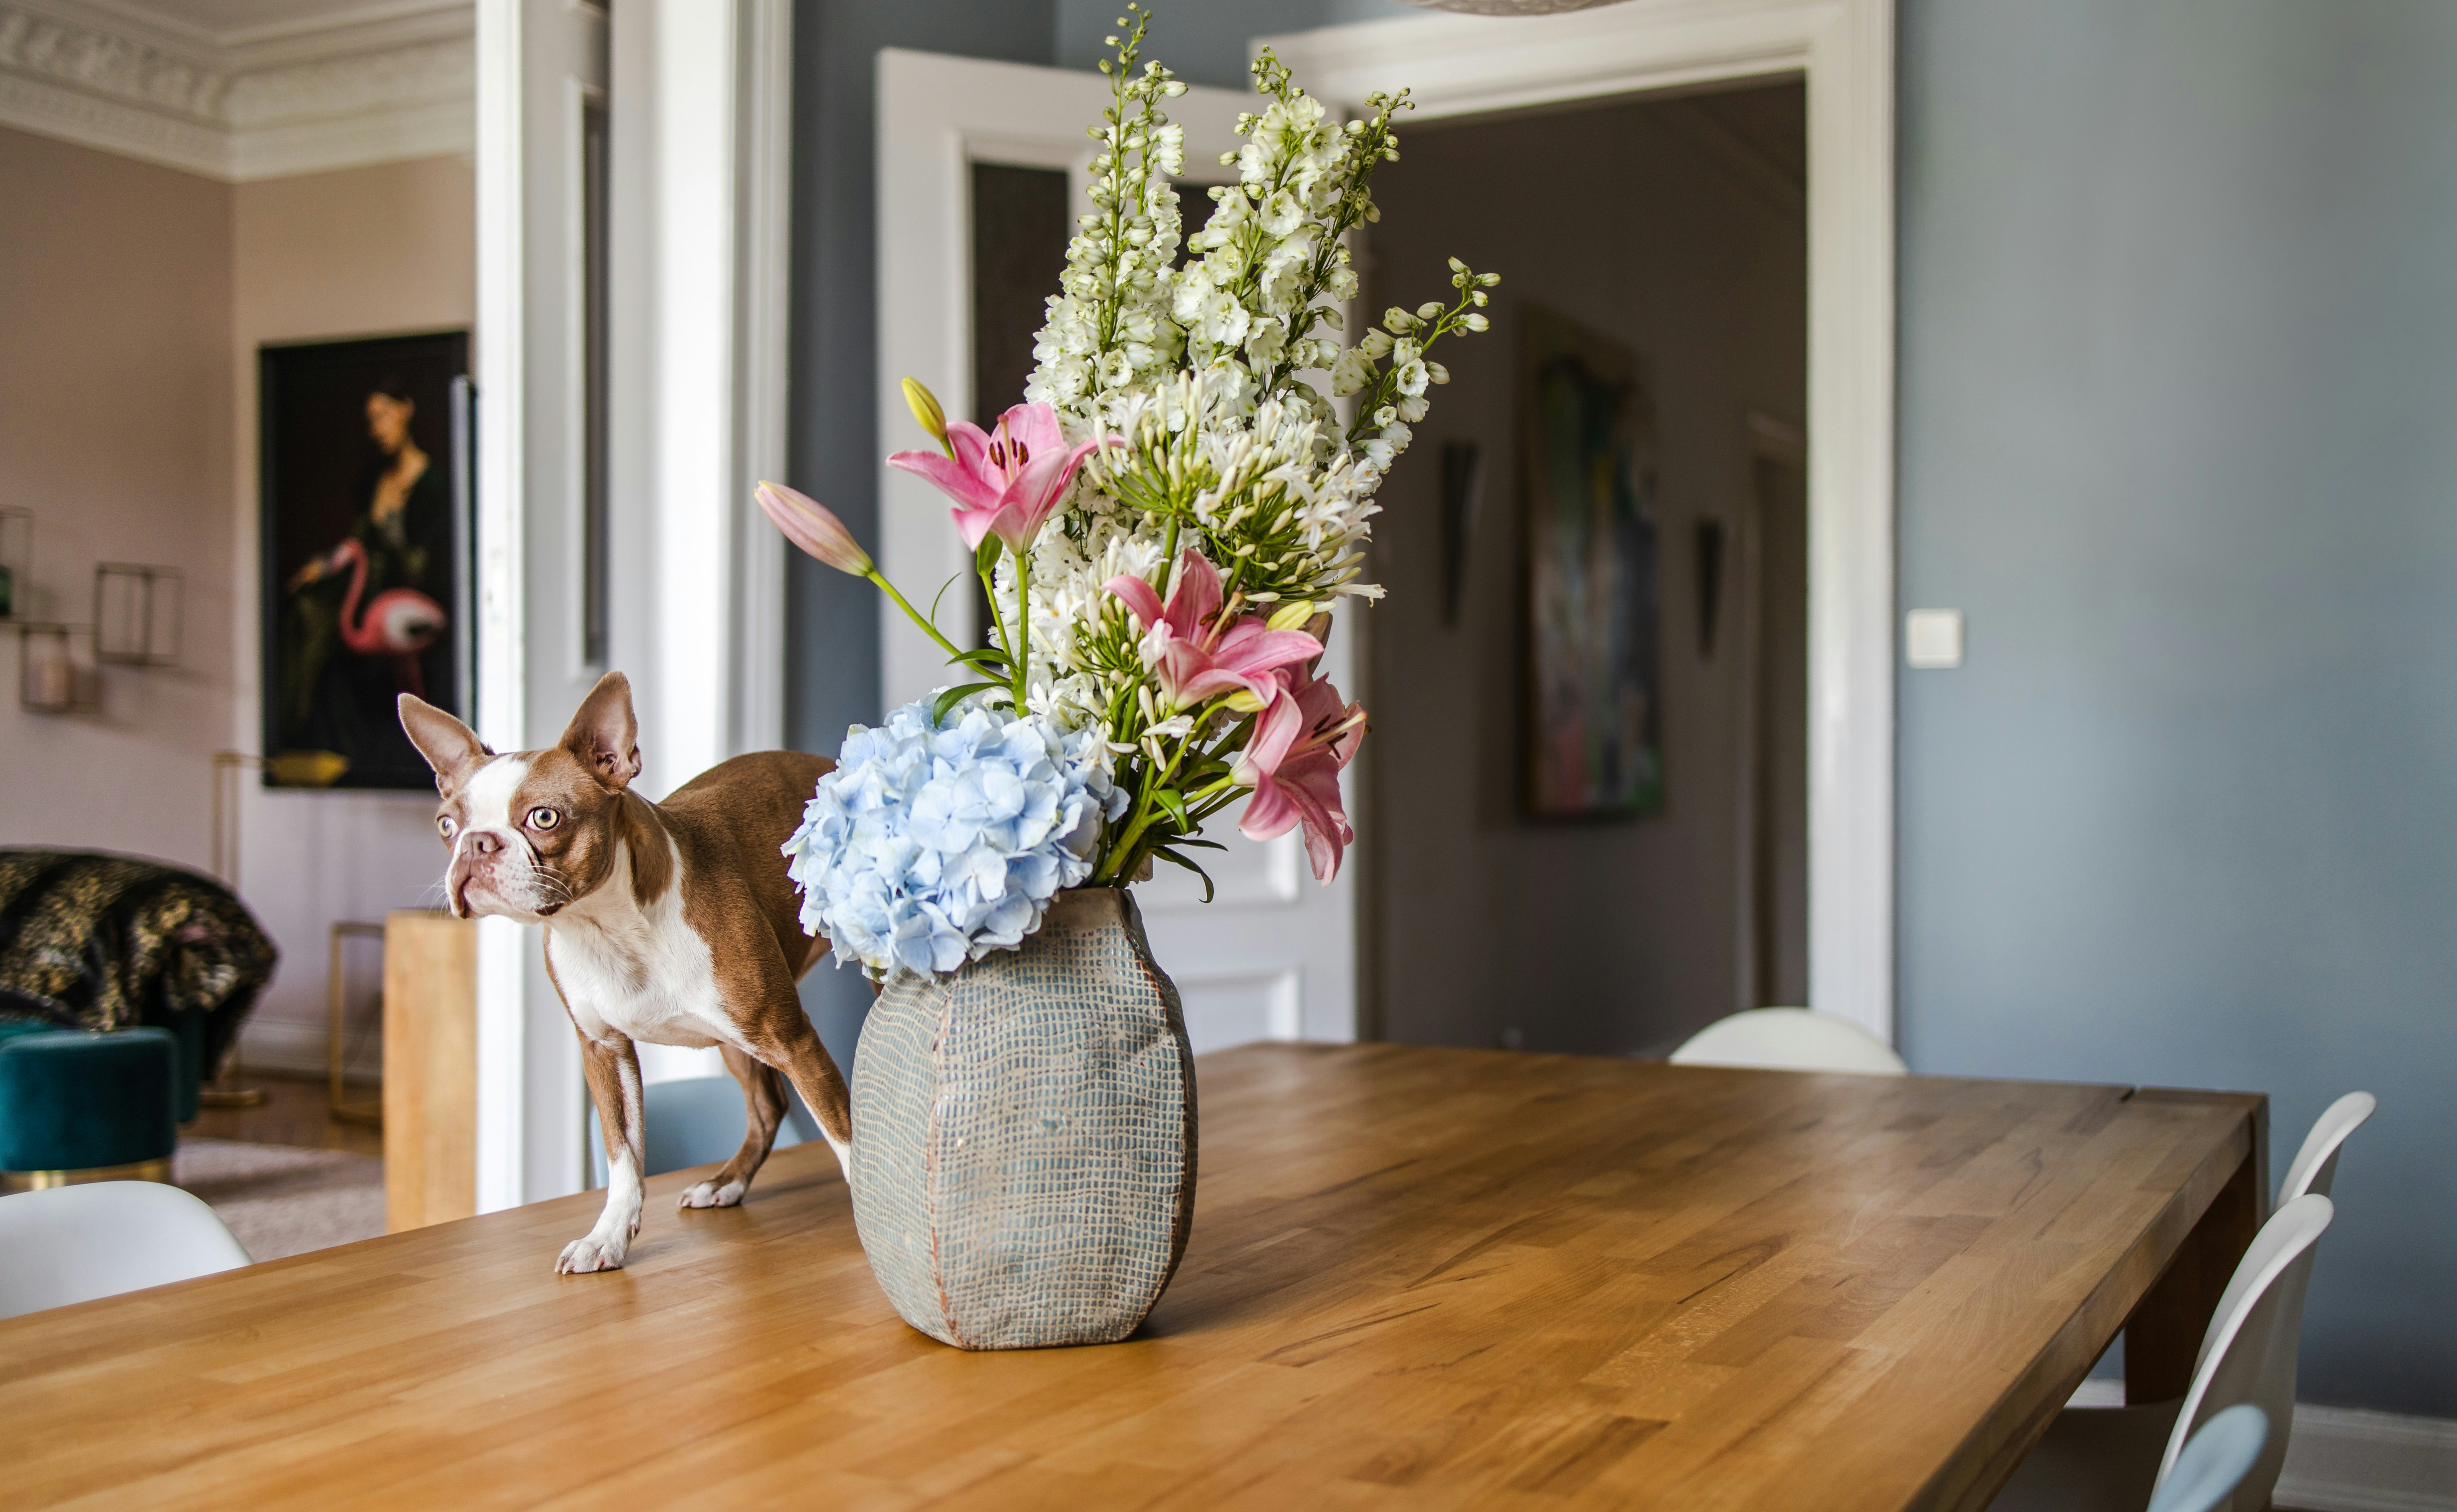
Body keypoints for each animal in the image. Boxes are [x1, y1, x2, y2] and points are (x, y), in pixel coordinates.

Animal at [400, 673, 855, 1278]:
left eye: (544, 817)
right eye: (447, 824)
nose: (477, 843)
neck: (606, 928)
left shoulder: (793, 1038)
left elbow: (846, 1136)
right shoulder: (604, 1049)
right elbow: (623, 1157)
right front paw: (608, 1237)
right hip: (733, 1040)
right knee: (767, 1106)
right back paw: (726, 1181)